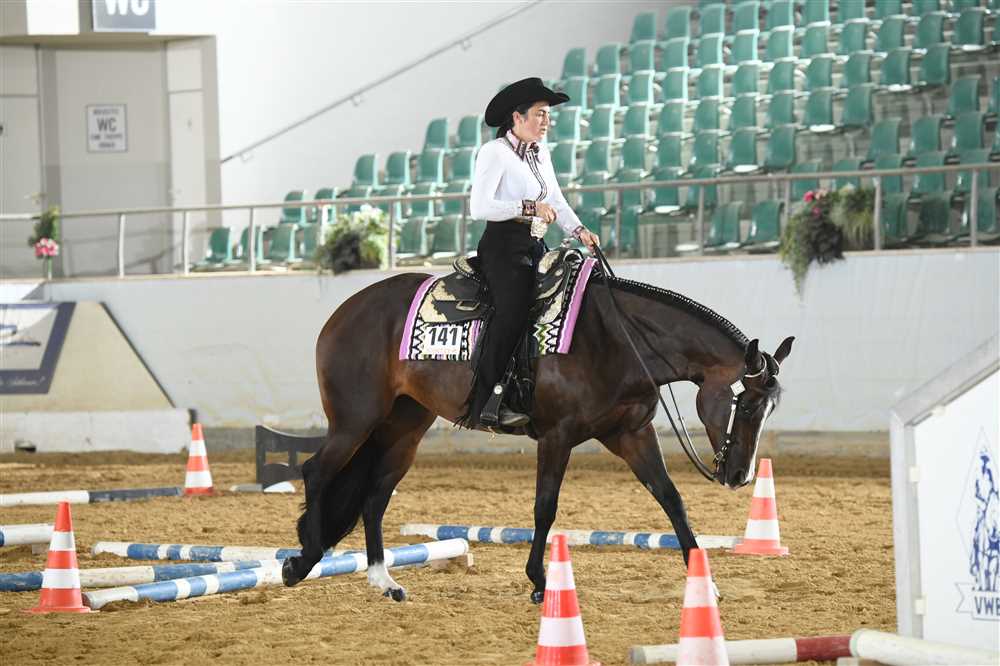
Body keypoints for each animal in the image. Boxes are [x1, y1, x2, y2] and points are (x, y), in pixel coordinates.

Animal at [281, 266, 794, 603]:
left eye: (772, 407)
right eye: (748, 404)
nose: (740, 475)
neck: (617, 339)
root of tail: (344, 311)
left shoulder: (631, 432)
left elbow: (671, 499)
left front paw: (705, 581)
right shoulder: (557, 436)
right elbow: (545, 507)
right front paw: (540, 581)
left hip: (405, 428)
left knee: (373, 496)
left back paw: (383, 580)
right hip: (355, 420)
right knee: (316, 472)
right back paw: (302, 562)